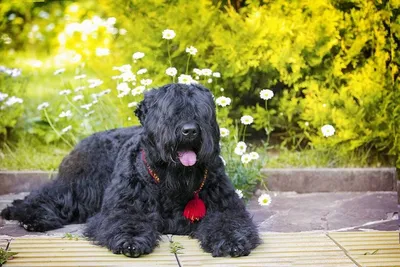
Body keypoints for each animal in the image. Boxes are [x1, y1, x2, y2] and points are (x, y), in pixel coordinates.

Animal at [0, 83, 260, 258]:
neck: (169, 182)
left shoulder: (225, 207)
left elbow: (228, 221)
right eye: (169, 111)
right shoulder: (122, 207)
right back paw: (32, 218)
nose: (190, 130)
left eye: (202, 111)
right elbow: (127, 220)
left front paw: (232, 240)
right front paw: (131, 240)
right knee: (46, 195)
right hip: (81, 186)